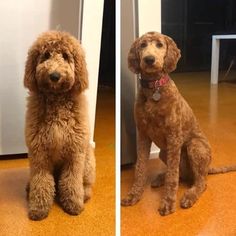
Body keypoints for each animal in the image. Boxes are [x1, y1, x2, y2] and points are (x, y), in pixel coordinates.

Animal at [23, 30, 95, 220]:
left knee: (86, 183)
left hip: (87, 161)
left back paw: (84, 194)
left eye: (65, 56)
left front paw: (73, 205)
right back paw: (29, 187)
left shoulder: (74, 154)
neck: (56, 102)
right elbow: (41, 181)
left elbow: (71, 181)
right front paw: (39, 208)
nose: (54, 76)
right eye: (46, 55)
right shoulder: (39, 154)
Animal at [121, 31, 236, 216]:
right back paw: (161, 178)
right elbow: (140, 168)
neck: (154, 89)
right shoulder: (143, 134)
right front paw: (134, 194)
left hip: (195, 146)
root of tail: (207, 169)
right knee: (182, 174)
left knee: (200, 182)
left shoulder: (173, 136)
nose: (149, 59)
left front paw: (168, 202)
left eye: (160, 45)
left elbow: (172, 176)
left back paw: (190, 195)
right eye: (143, 45)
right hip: (164, 152)